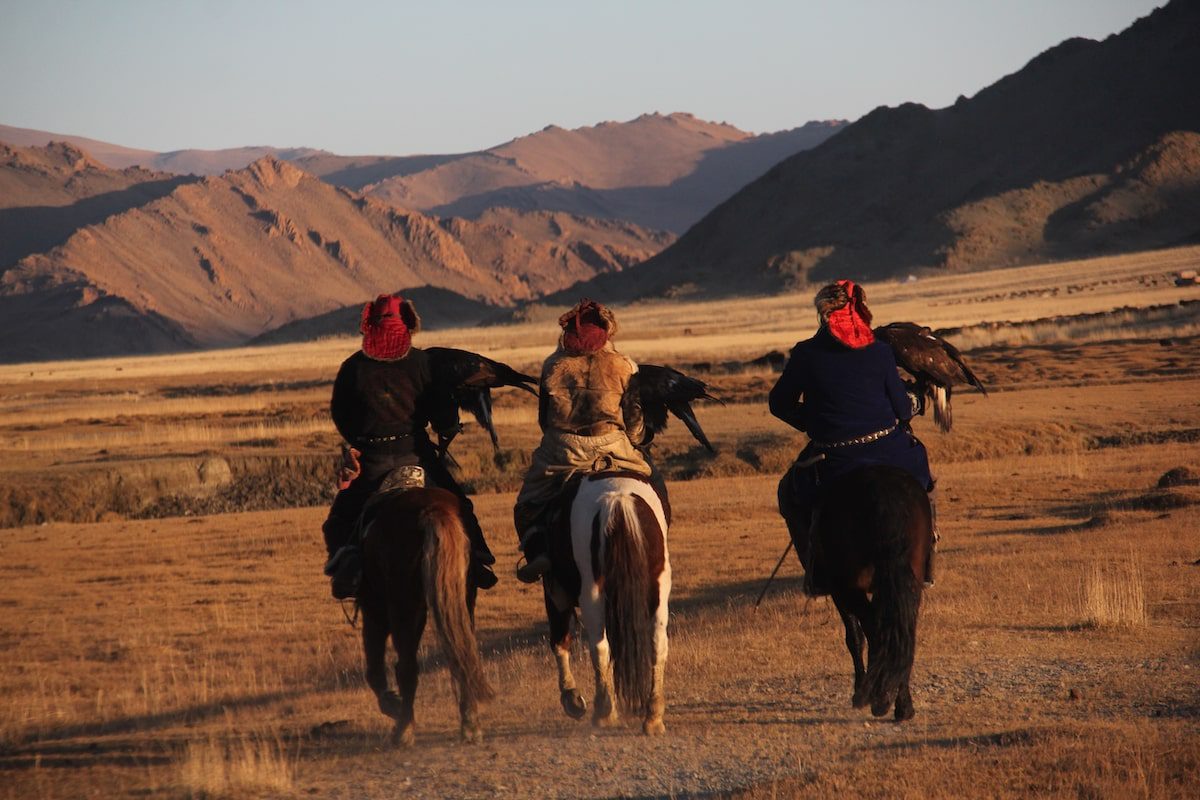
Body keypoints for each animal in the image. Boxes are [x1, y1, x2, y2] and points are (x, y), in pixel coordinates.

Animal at [355, 484, 492, 748]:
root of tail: (432, 510)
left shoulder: (373, 605)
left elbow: (374, 667)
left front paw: (392, 704)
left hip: (404, 605)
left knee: (407, 667)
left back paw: (404, 730)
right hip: (462, 597)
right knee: (462, 654)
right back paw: (470, 724)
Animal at [544, 474, 676, 738]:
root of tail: (618, 500)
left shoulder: (554, 589)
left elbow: (560, 641)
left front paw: (572, 698)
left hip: (591, 592)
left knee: (598, 647)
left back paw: (604, 713)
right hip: (658, 586)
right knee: (657, 644)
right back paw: (653, 716)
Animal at [811, 462, 931, 719]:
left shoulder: (839, 591)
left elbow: (854, 637)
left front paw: (861, 689)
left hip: (848, 586)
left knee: (879, 632)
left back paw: (879, 698)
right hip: (907, 582)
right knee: (902, 631)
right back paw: (901, 705)